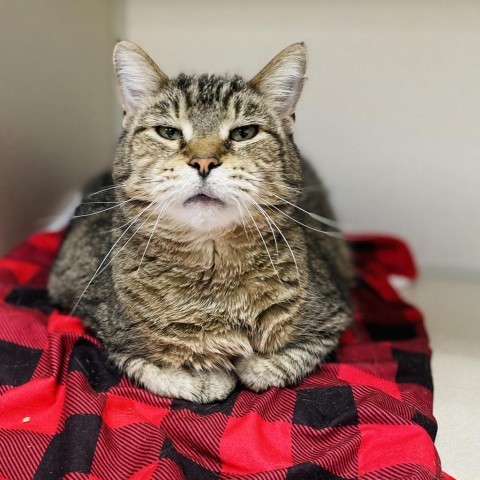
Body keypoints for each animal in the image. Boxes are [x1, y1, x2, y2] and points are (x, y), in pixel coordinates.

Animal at [48, 41, 352, 404]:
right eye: (168, 132)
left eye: (244, 132)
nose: (204, 161)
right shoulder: (102, 323)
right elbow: (156, 366)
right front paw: (208, 374)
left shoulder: (333, 315)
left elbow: (278, 364)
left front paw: (248, 364)